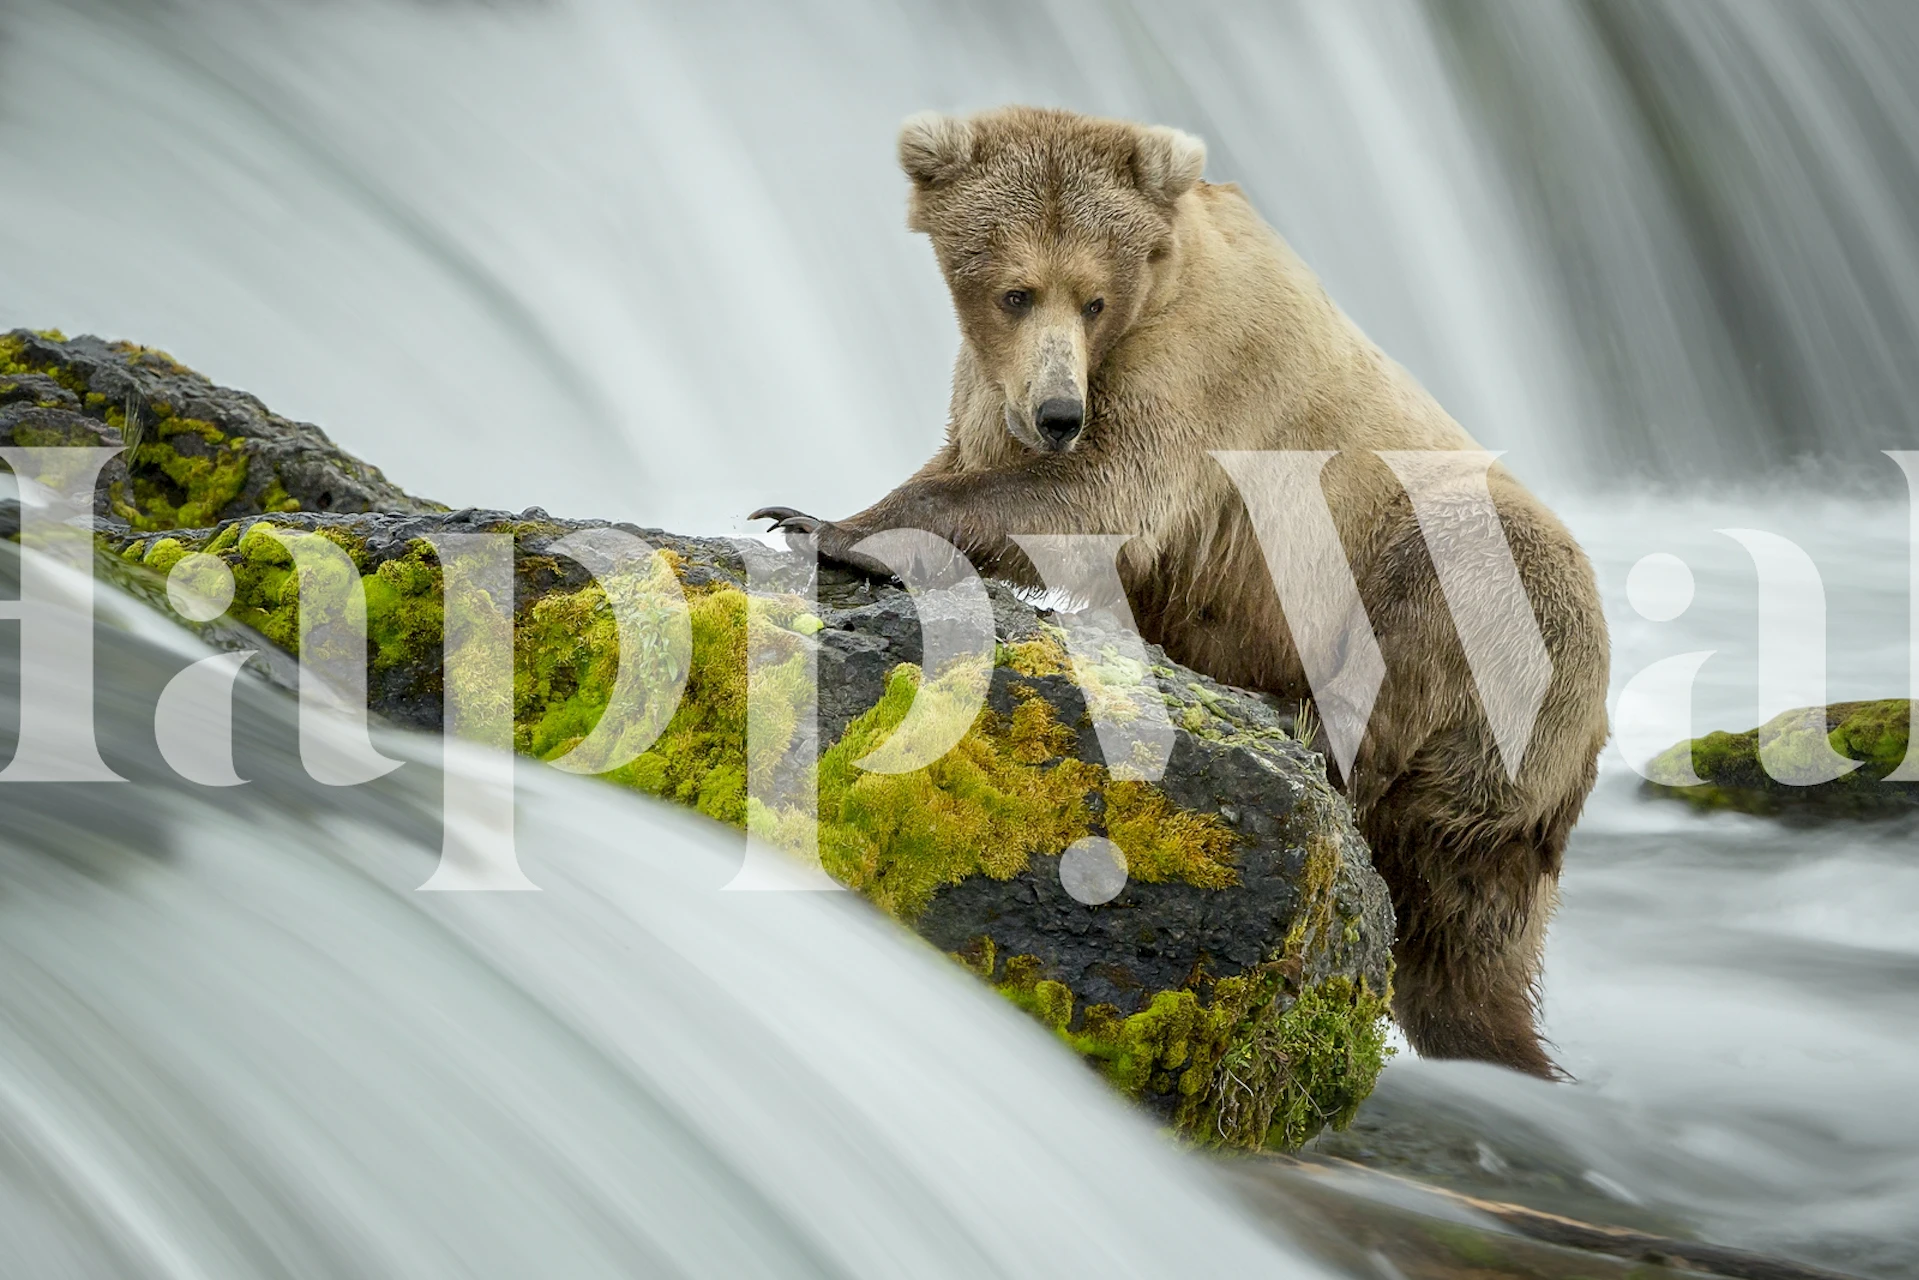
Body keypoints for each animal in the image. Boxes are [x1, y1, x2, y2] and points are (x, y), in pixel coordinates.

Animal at [754, 105, 1610, 1078]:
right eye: (1014, 291)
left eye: (1091, 297)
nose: (1058, 414)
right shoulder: (999, 383)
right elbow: (969, 452)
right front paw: (818, 511)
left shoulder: (1198, 372)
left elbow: (1099, 496)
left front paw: (822, 527)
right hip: (1489, 830)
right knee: (1460, 948)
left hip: (1485, 589)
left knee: (1417, 638)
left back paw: (1307, 725)